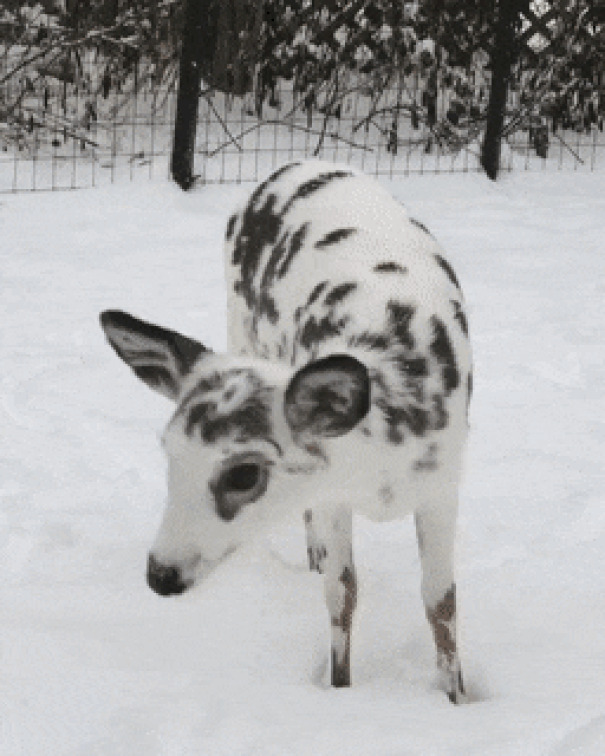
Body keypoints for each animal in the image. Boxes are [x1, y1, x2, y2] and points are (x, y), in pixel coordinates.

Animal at [100, 160, 472, 701]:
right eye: (168, 452)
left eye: (243, 474)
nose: (161, 575)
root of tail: (293, 166)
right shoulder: (333, 492)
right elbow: (342, 593)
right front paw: (339, 688)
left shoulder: (443, 484)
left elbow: (441, 603)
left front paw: (457, 696)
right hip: (241, 321)